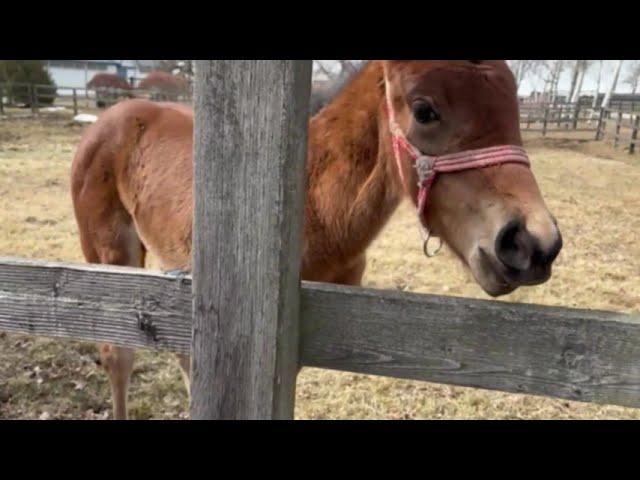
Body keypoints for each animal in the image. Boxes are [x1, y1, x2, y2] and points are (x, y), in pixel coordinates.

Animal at [69, 61, 560, 420]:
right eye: (424, 110)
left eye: (514, 109)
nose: (533, 242)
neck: (315, 208)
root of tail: (108, 116)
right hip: (109, 255)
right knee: (118, 353)